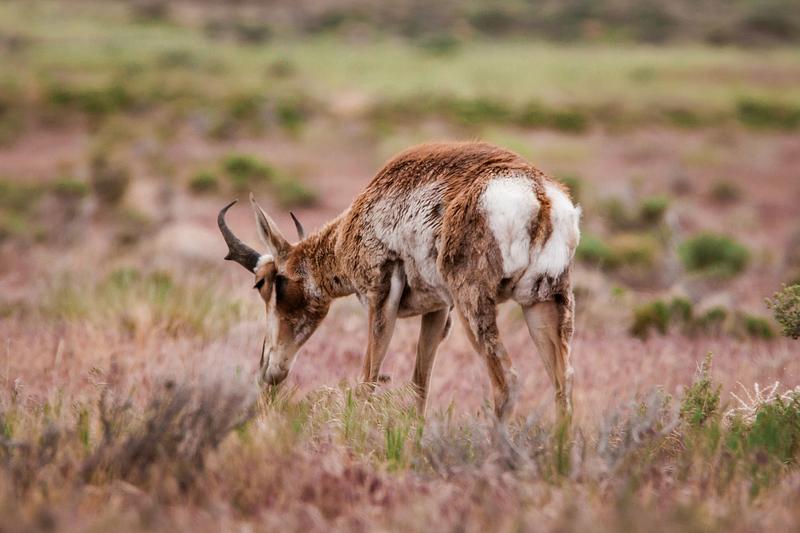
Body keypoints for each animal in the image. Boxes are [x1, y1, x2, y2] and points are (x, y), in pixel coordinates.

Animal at [217, 141, 580, 424]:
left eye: (262, 283)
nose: (267, 371)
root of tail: (539, 194)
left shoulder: (380, 298)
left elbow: (368, 377)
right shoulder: (438, 310)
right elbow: (421, 383)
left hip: (476, 308)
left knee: (508, 383)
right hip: (542, 304)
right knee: (563, 387)